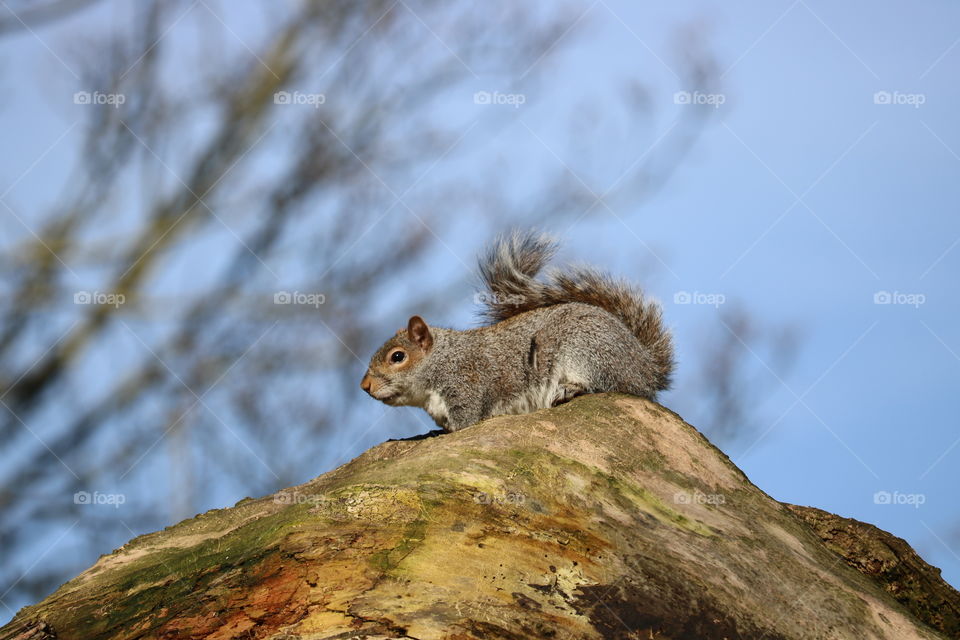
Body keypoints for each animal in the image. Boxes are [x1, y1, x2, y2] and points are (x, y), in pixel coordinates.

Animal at [360, 230, 674, 432]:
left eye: (397, 357)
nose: (365, 386)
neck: (444, 359)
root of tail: (645, 367)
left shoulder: (468, 387)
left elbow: (466, 424)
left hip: (586, 349)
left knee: (608, 385)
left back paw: (572, 389)